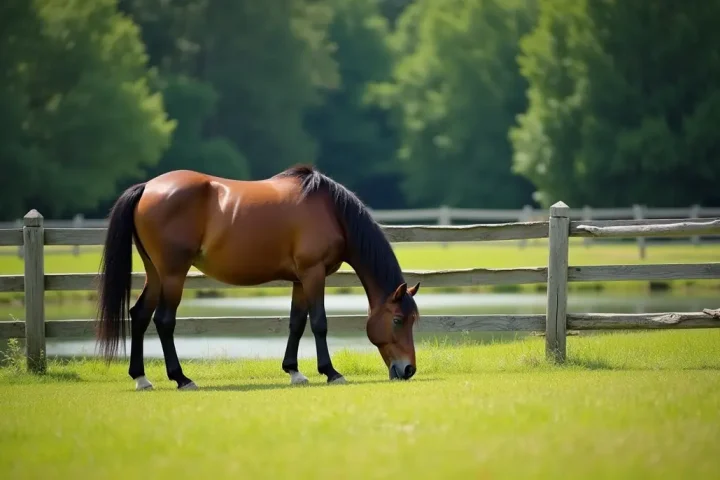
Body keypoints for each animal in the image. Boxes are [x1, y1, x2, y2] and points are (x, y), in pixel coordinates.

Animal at [95, 165, 421, 391]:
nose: (408, 370)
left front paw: (294, 371)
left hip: (156, 273)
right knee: (163, 320)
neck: (332, 211)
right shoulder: (314, 273)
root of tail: (147, 187)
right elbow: (319, 323)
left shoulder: (300, 280)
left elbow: (296, 323)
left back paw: (141, 378)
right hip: (174, 274)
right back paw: (181, 378)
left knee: (139, 315)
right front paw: (331, 372)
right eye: (397, 320)